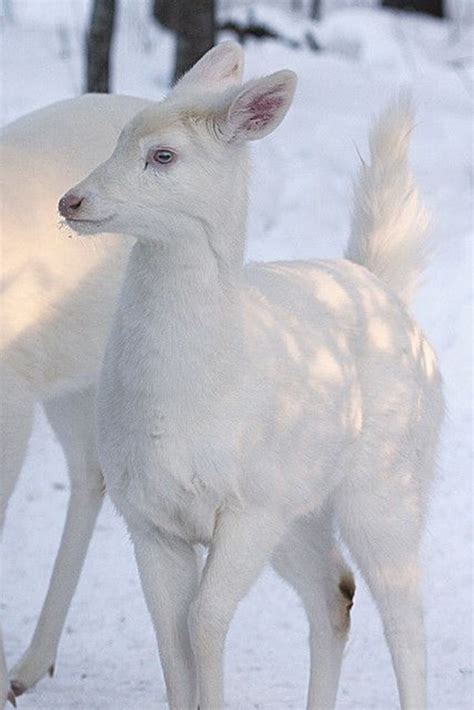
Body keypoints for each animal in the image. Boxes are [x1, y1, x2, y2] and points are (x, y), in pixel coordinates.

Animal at [60, 43, 444, 710]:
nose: (71, 201)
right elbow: (171, 637)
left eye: (163, 155)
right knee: (335, 590)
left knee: (404, 616)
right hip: (301, 510)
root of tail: (380, 284)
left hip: (387, 485)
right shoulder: (147, 517)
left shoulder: (250, 504)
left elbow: (205, 621)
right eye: (119, 137)